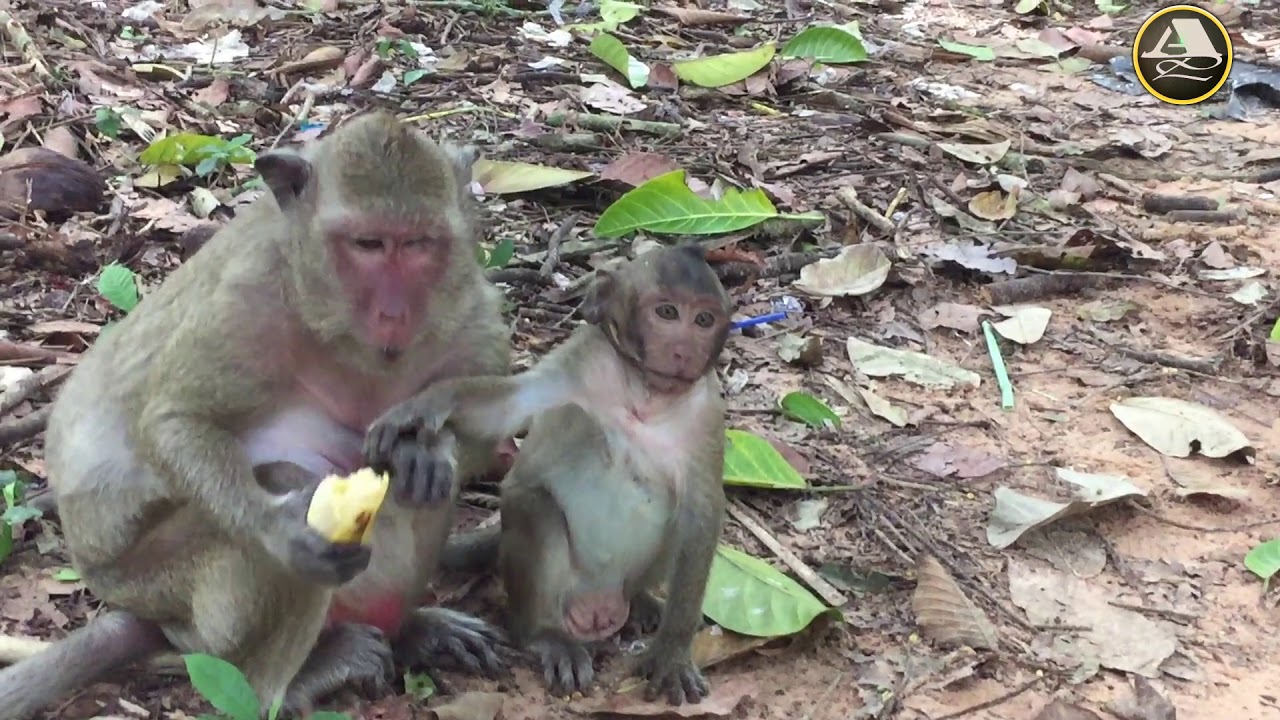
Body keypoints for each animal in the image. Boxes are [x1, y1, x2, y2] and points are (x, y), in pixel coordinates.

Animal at [0, 111, 514, 720]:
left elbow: (489, 415)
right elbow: (177, 422)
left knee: (418, 492)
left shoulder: (466, 297)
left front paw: (427, 449)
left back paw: (409, 626)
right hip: (158, 586)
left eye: (418, 244)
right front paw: (281, 532)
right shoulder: (249, 300)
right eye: (368, 244)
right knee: (275, 489)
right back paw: (290, 683)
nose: (395, 311)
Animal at [364, 244, 733, 706]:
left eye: (704, 320)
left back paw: (642, 601)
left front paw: (671, 652)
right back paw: (545, 635)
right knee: (532, 505)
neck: (644, 393)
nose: (684, 351)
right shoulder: (581, 360)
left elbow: (700, 517)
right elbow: (510, 405)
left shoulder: (706, 412)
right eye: (667, 312)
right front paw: (426, 404)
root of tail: (599, 607)